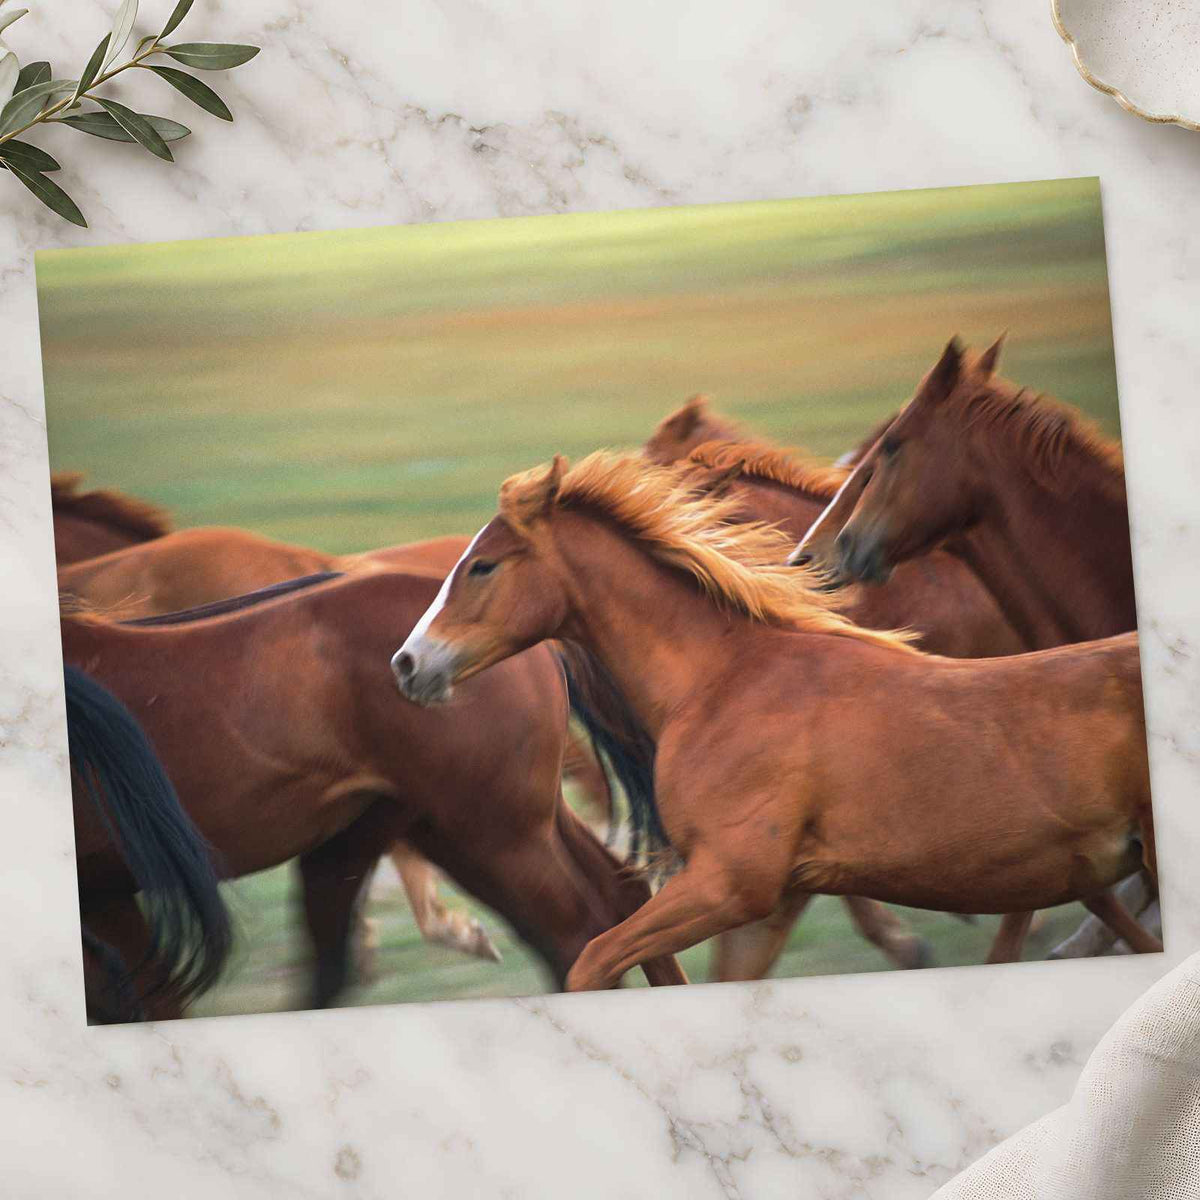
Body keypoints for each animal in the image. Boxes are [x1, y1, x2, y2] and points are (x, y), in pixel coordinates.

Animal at [392, 450, 1161, 991]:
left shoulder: (731, 883)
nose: (406, 663)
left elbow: (591, 961)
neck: (723, 679)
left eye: (483, 565)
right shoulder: (771, 898)